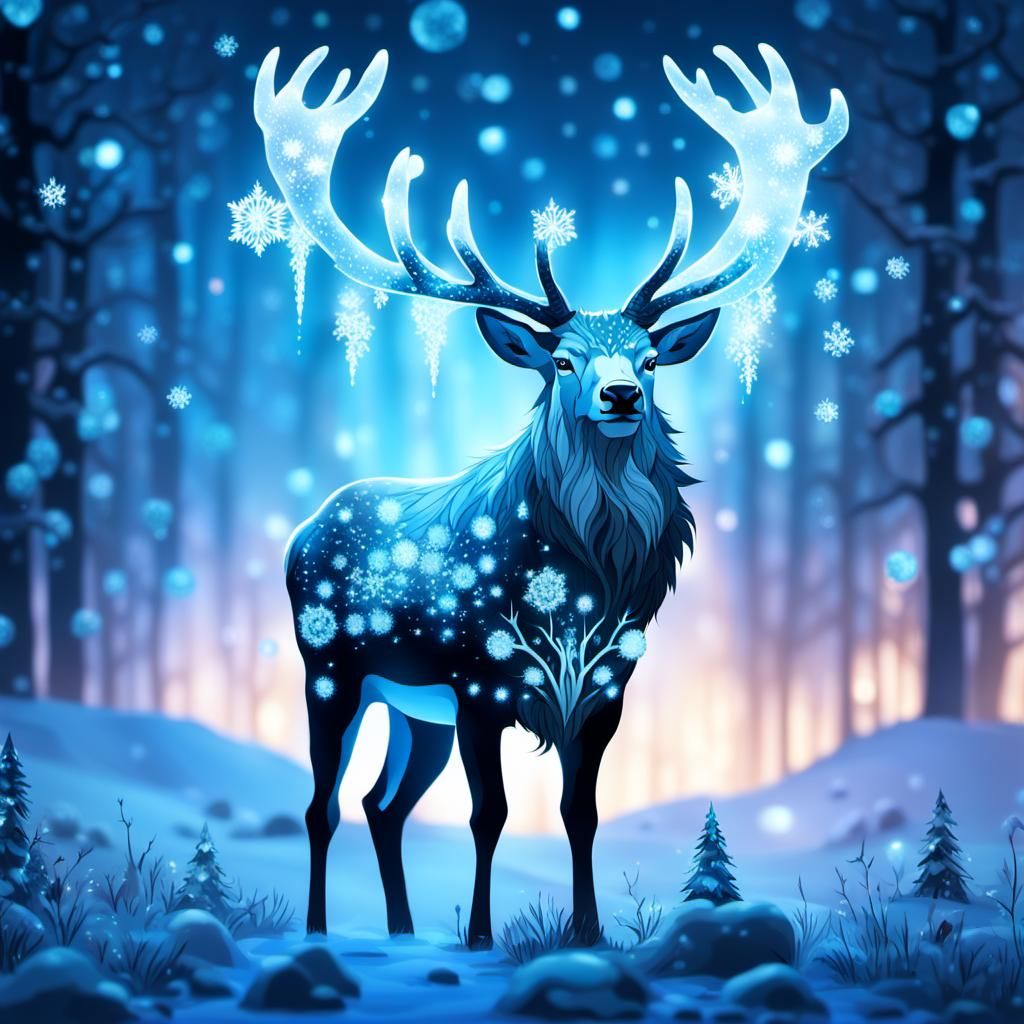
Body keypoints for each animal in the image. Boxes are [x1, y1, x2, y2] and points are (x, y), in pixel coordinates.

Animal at [254, 42, 847, 946]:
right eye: (561, 360)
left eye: (649, 356)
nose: (620, 395)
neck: (578, 591)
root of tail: (300, 533)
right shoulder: (477, 683)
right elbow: (490, 814)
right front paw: (480, 935)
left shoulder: (605, 687)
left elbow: (581, 812)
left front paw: (588, 933)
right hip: (331, 667)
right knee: (324, 804)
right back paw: (322, 929)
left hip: (412, 708)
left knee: (383, 805)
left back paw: (401, 929)